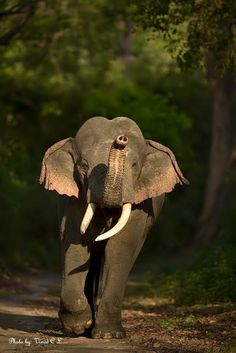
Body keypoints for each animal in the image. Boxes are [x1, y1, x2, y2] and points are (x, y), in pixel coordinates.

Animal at [40, 116, 188, 338]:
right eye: (84, 166)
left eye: (134, 165)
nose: (121, 139)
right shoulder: (73, 199)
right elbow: (75, 243)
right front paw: (77, 326)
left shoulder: (139, 203)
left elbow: (119, 248)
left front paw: (108, 335)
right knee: (92, 263)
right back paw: (87, 327)